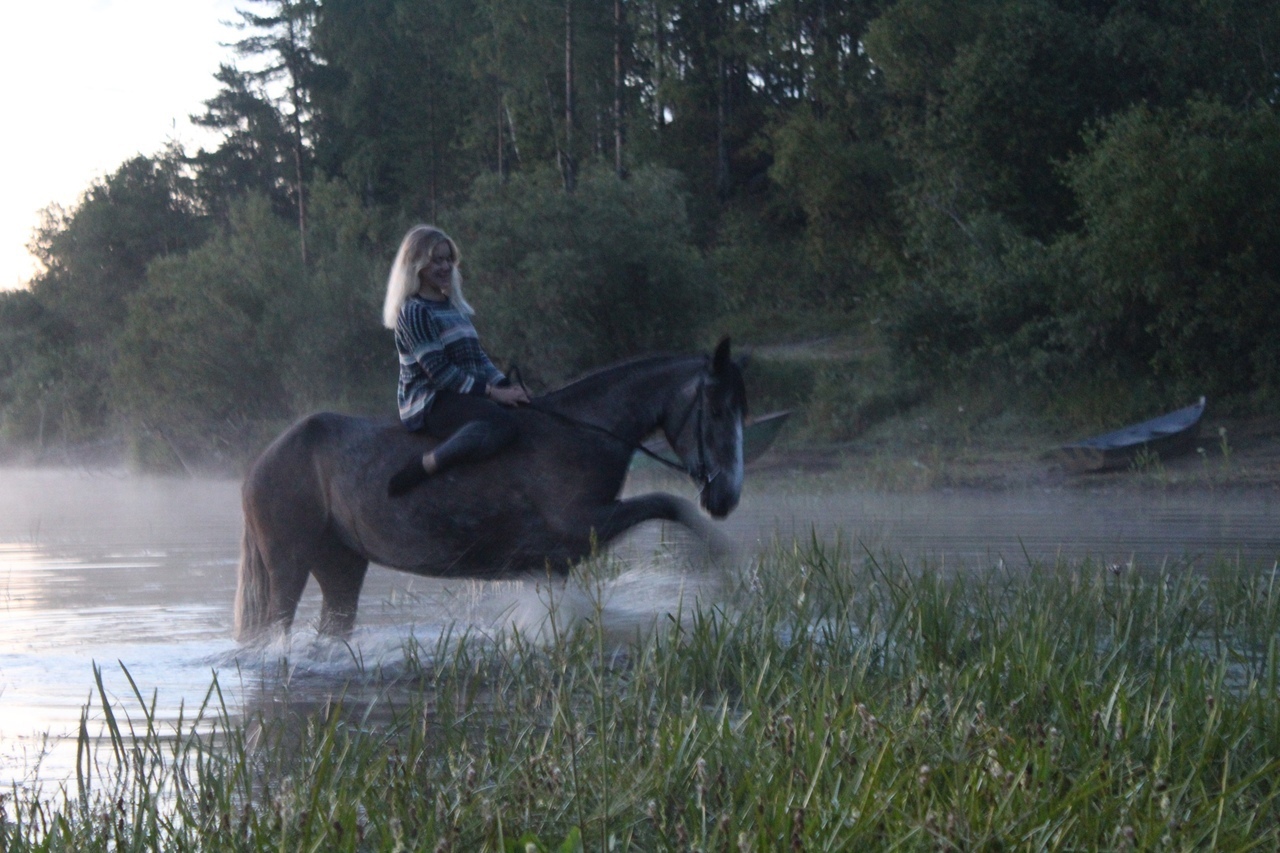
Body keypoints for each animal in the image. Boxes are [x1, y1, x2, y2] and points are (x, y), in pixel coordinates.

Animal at [233, 338, 748, 641]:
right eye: (717, 410)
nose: (727, 496)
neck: (583, 432)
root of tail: (260, 463)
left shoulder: (555, 562)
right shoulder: (584, 525)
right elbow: (668, 503)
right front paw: (720, 561)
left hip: (340, 565)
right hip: (289, 564)